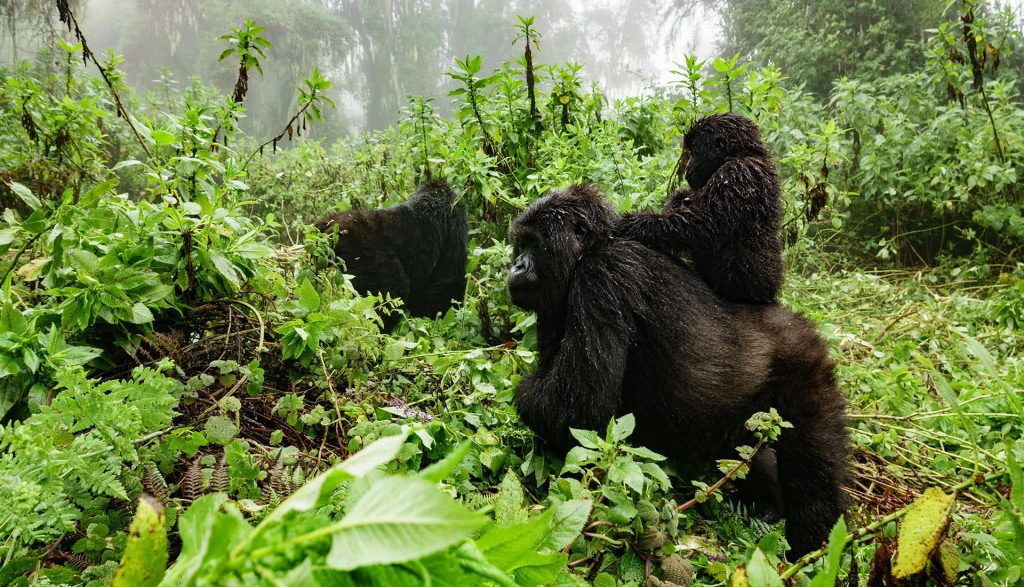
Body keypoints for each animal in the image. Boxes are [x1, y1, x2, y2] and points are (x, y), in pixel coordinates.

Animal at [507, 185, 851, 557]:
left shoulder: (603, 275)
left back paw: (815, 545)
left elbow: (575, 412)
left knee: (812, 463)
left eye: (533, 244)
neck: (594, 247)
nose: (516, 265)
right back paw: (768, 507)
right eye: (520, 244)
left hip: (804, 363)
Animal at [614, 115, 782, 307]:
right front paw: (677, 200)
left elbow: (703, 224)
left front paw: (635, 224)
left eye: (694, 152)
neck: (741, 153)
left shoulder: (736, 173)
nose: (687, 167)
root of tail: (772, 293)